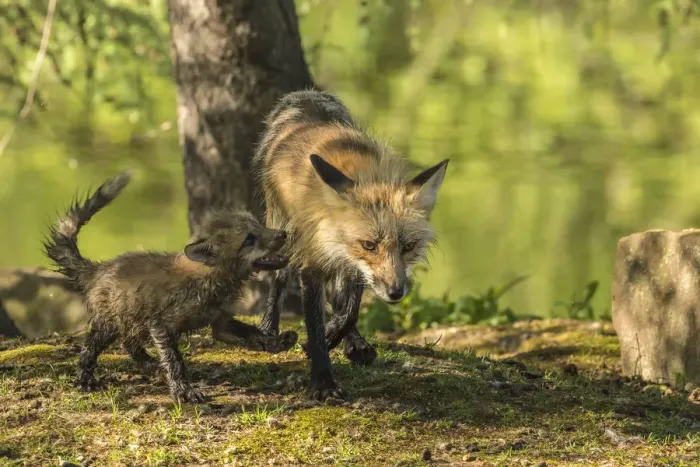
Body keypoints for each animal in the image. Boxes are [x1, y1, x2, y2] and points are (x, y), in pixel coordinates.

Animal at [43, 170, 297, 403]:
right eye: (249, 240)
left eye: (259, 226)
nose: (283, 233)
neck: (210, 281)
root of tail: (99, 267)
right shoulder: (162, 325)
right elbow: (175, 362)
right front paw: (183, 391)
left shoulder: (220, 322)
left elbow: (253, 334)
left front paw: (278, 342)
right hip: (109, 324)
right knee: (90, 349)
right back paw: (85, 381)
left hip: (132, 321)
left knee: (129, 344)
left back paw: (151, 366)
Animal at [252, 90, 448, 400]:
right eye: (369, 244)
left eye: (408, 246)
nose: (395, 293)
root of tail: (306, 99)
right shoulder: (313, 262)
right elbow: (315, 324)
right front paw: (322, 382)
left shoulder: (357, 267)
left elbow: (349, 311)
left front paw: (337, 335)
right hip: (285, 233)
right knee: (279, 280)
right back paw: (269, 328)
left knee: (341, 300)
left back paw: (354, 343)